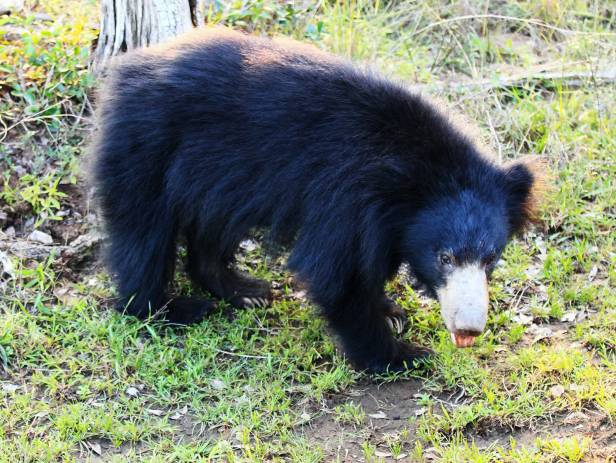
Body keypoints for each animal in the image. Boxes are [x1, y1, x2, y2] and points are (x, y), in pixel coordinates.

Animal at [91, 27, 540, 374]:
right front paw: (399, 355)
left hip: (213, 175)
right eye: (444, 257)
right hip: (147, 150)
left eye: (490, 258)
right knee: (143, 234)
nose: (468, 330)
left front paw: (390, 311)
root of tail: (129, 69)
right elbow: (335, 275)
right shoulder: (342, 196)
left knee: (209, 229)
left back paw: (244, 289)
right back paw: (169, 308)